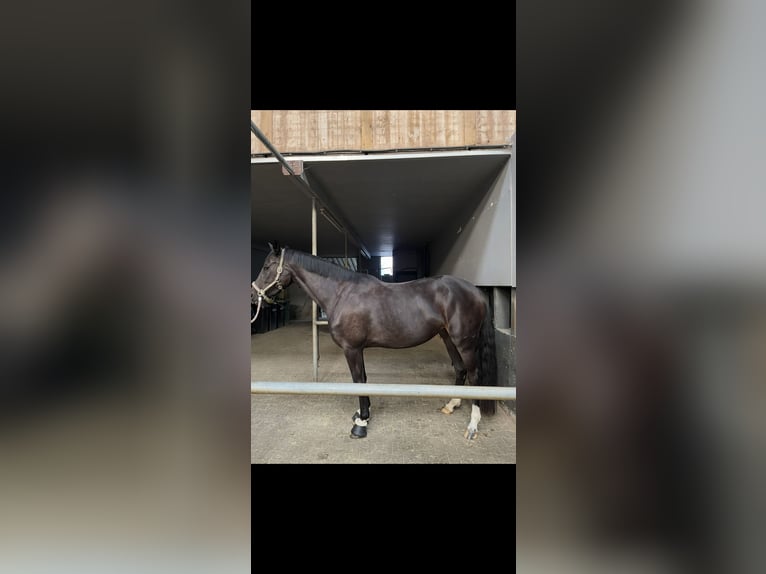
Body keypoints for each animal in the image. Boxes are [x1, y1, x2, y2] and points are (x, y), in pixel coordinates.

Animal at [251, 243, 497, 440]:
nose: (254, 296)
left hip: (464, 342)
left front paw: (360, 424)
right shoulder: (358, 349)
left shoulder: (351, 349)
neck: (341, 293)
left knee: (475, 375)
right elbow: (365, 379)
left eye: (267, 267)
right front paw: (363, 414)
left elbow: (358, 380)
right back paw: (452, 404)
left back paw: (472, 425)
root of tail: (476, 291)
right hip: (448, 338)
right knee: (460, 369)